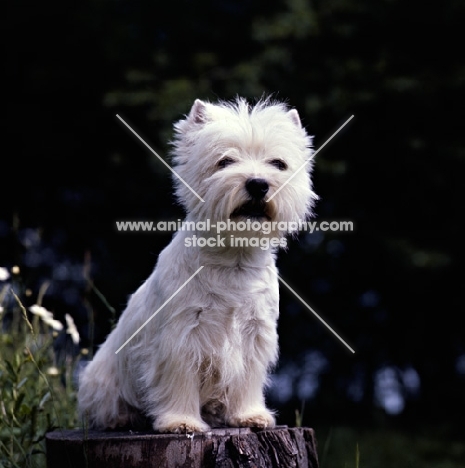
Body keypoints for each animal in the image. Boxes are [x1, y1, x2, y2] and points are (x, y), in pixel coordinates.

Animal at [78, 97, 318, 434]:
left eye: (278, 164)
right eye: (225, 161)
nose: (258, 184)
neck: (233, 260)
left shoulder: (255, 334)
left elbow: (248, 380)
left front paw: (250, 415)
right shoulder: (180, 336)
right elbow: (179, 380)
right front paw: (181, 421)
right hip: (101, 378)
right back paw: (122, 418)